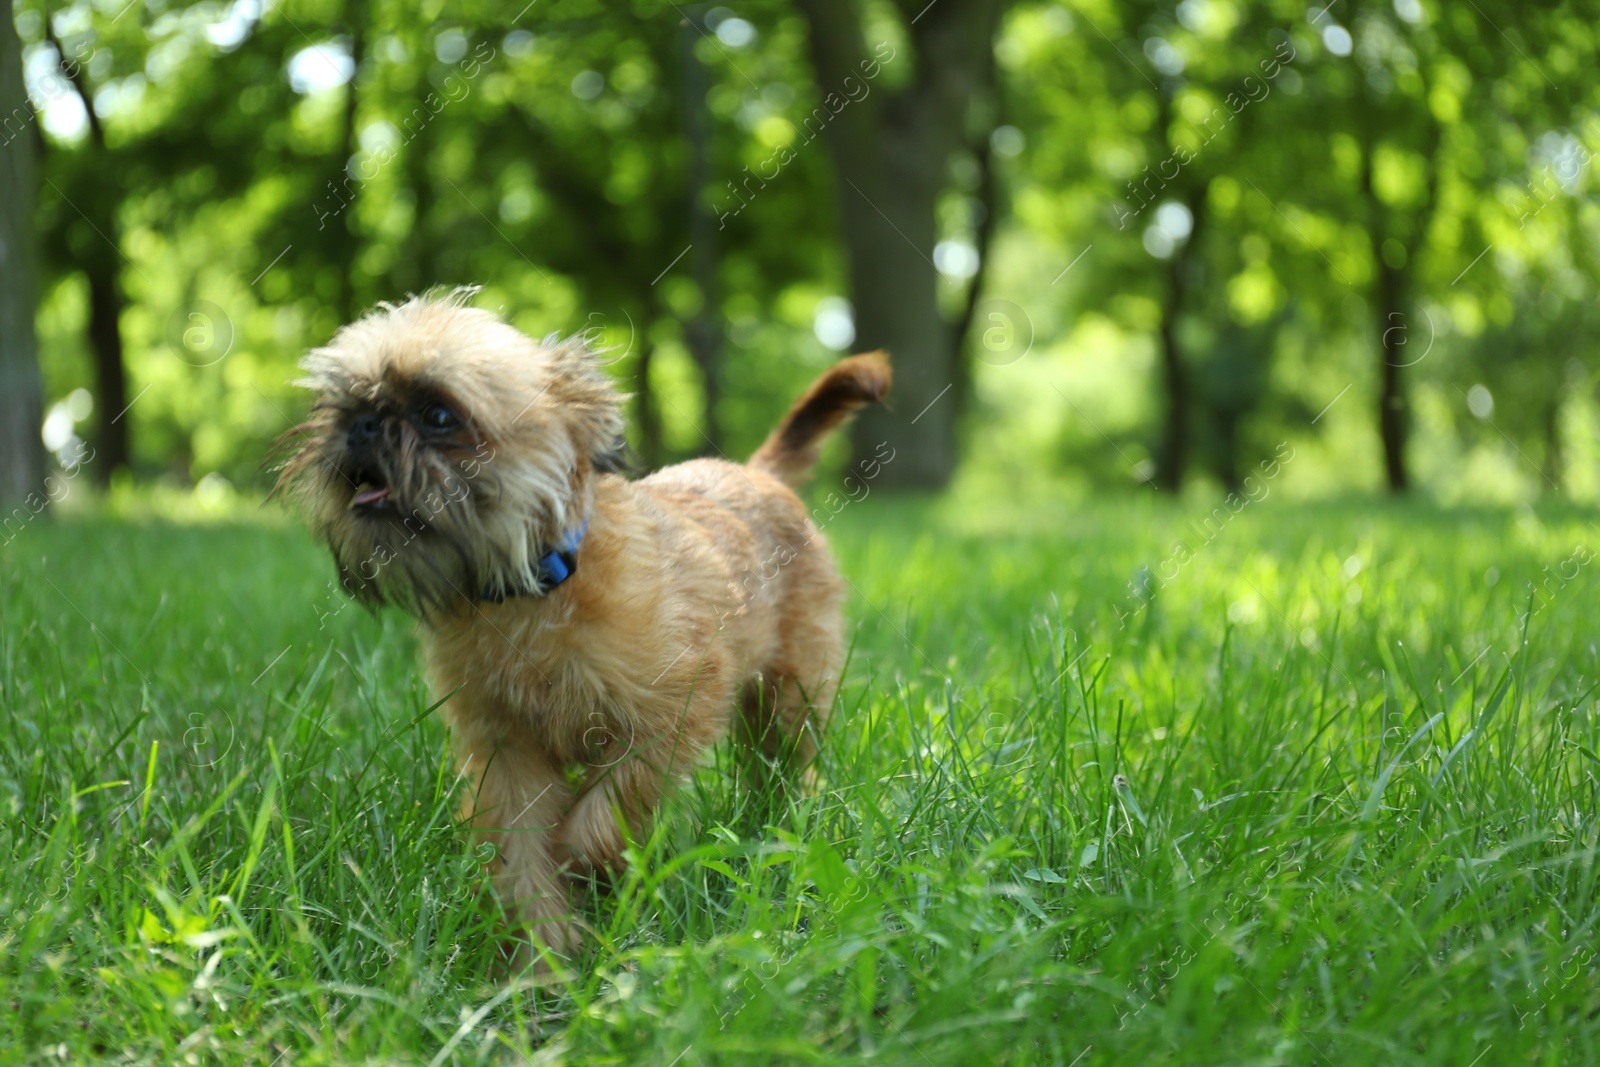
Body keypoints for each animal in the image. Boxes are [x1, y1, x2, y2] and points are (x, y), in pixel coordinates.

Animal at [280, 292, 896, 959]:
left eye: (439, 413)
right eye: (344, 404)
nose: (361, 425)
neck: (532, 594)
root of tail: (759, 473)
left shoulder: (668, 719)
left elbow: (600, 815)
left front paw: (591, 873)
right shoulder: (507, 756)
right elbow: (522, 856)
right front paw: (544, 954)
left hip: (791, 696)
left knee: (785, 766)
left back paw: (783, 825)